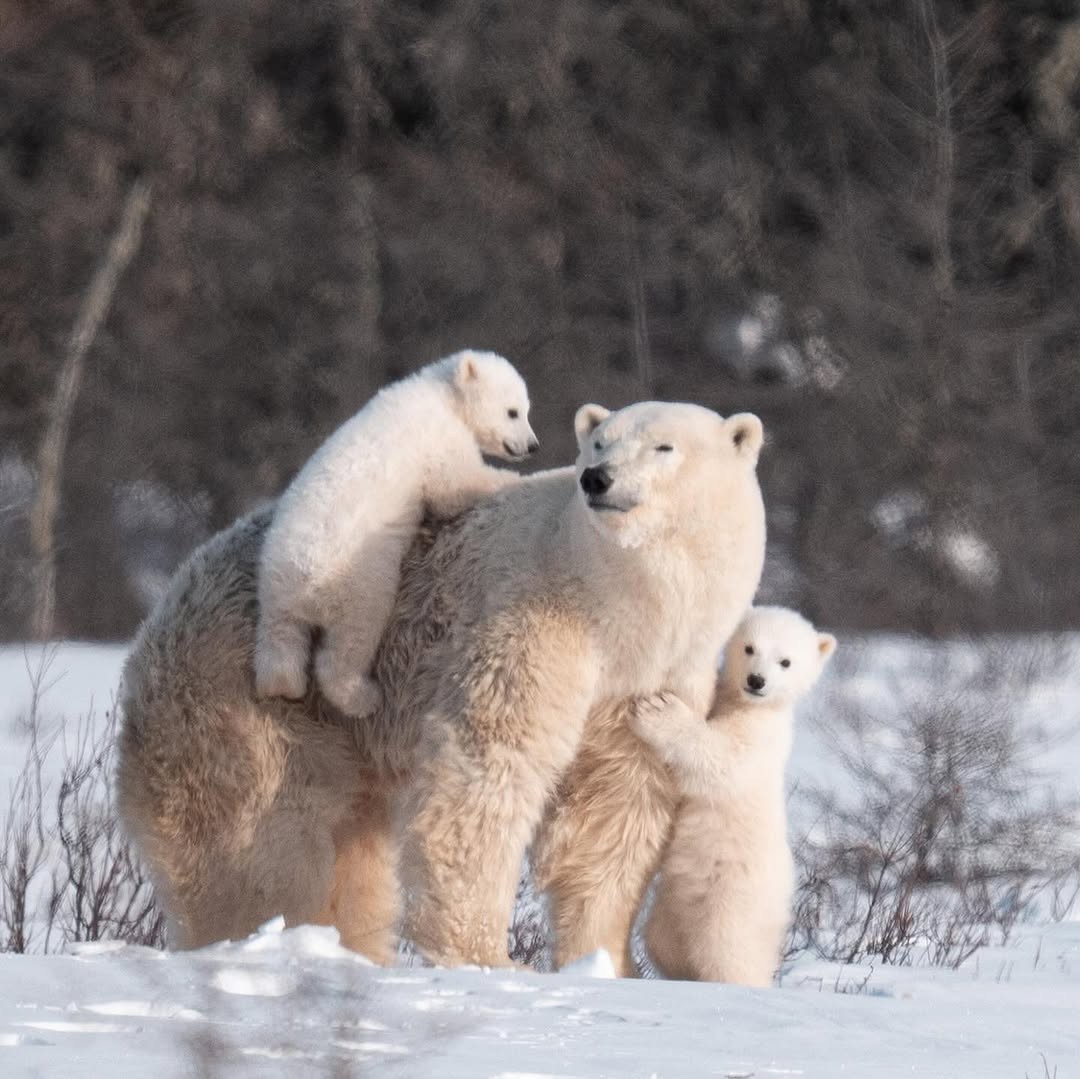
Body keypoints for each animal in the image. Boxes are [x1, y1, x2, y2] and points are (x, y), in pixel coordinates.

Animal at [116, 400, 765, 969]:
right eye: (600, 442)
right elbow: (487, 768)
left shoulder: (655, 676)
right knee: (258, 845)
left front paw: (604, 960)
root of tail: (162, 609)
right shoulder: (532, 622)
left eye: (664, 446)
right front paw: (488, 958)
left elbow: (615, 808)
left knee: (350, 854)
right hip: (248, 696)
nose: (597, 479)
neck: (614, 603)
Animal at [255, 349, 537, 718]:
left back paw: (284, 685)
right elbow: (454, 486)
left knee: (280, 638)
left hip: (274, 591)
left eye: (526, 409)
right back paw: (363, 696)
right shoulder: (436, 436)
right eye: (513, 411)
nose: (532, 446)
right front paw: (510, 479)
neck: (441, 394)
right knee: (353, 637)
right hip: (356, 580)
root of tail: (299, 583)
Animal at [630, 606, 836, 986]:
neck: (748, 705)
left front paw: (658, 710)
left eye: (785, 661)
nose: (757, 681)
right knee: (663, 941)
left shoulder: (761, 738)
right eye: (749, 647)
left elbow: (722, 759)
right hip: (675, 904)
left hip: (734, 894)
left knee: (727, 949)